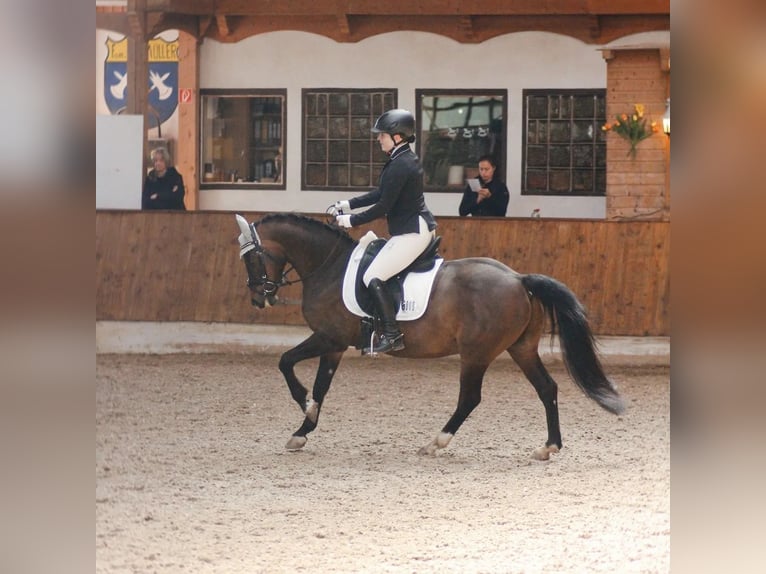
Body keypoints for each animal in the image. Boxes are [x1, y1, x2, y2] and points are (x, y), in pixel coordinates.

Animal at [234, 214, 624, 462]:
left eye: (251, 259)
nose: (258, 298)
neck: (328, 265)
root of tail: (519, 279)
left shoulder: (330, 338)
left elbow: (286, 363)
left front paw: (304, 408)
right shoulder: (335, 346)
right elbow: (320, 386)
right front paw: (303, 429)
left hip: (476, 353)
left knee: (470, 398)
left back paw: (436, 443)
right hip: (521, 348)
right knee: (547, 389)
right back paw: (549, 447)